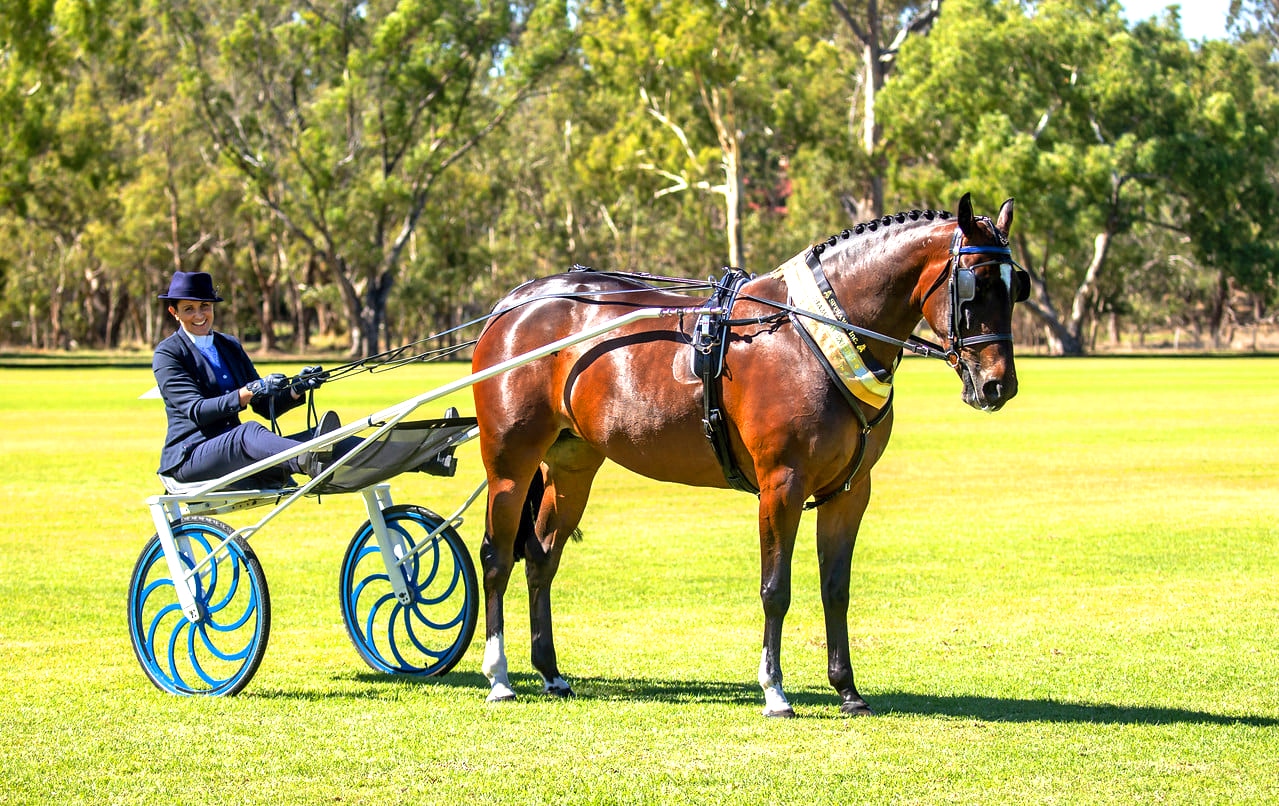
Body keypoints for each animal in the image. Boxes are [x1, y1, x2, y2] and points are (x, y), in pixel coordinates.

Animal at [475, 194, 1023, 721]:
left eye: (1018, 287)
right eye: (974, 286)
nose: (999, 386)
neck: (812, 334)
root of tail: (513, 303)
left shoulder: (849, 492)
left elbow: (836, 589)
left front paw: (847, 689)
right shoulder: (782, 484)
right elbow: (775, 589)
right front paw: (774, 691)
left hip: (572, 467)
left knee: (542, 559)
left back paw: (550, 672)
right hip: (510, 467)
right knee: (496, 558)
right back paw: (499, 677)